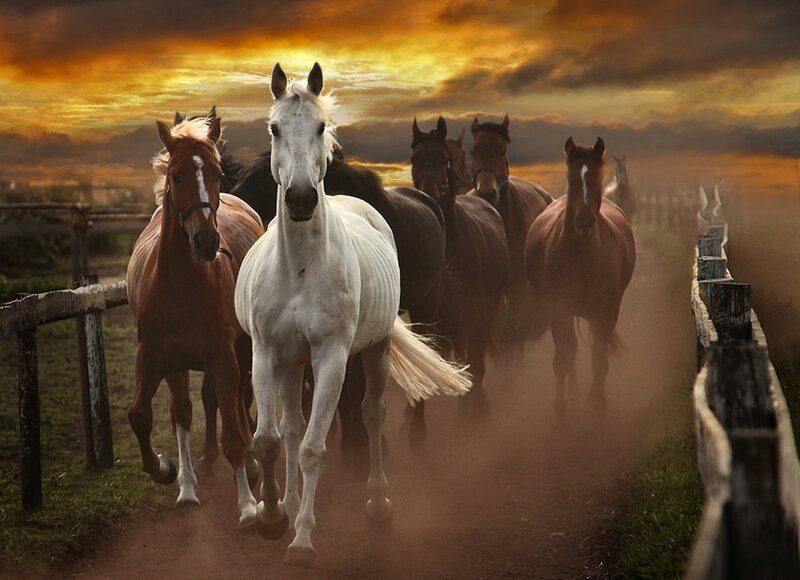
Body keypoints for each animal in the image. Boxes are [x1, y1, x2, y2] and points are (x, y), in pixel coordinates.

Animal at [126, 117, 264, 524]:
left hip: (242, 350)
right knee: (184, 412)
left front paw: (247, 505)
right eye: (176, 176)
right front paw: (165, 470)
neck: (178, 284)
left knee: (239, 399)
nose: (206, 241)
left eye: (217, 174)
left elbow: (232, 431)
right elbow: (142, 416)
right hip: (178, 364)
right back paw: (187, 488)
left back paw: (252, 465)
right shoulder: (153, 357)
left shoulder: (222, 357)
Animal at [235, 62, 471, 564]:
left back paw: (378, 502)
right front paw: (271, 517)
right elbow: (269, 440)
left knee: (372, 412)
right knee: (290, 427)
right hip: (291, 363)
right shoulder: (266, 353)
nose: (301, 199)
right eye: (274, 128)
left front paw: (302, 539)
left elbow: (314, 447)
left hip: (375, 349)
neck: (300, 268)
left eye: (321, 127)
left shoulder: (331, 358)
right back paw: (287, 503)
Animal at [525, 137, 636, 416]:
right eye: (571, 178)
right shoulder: (558, 310)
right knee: (572, 348)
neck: (580, 256)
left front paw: (597, 403)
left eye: (597, 177)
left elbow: (599, 359)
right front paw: (561, 407)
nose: (584, 223)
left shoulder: (606, 312)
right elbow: (562, 359)